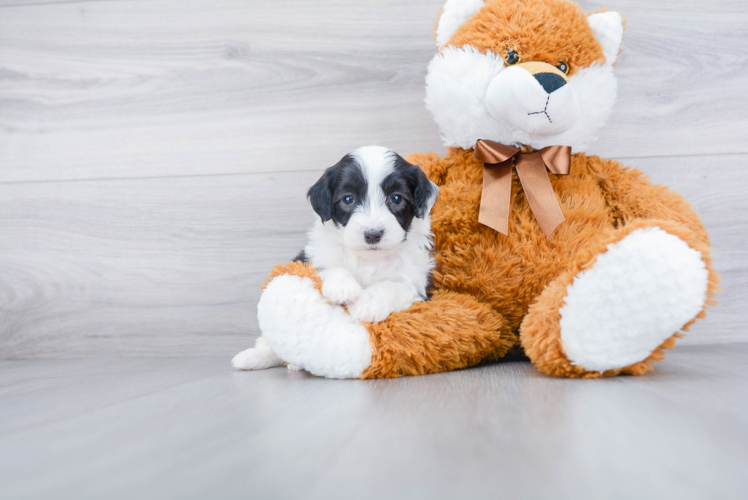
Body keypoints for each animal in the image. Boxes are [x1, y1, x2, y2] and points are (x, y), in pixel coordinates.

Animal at [232, 146, 438, 372]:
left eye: (396, 198)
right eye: (348, 199)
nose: (372, 234)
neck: (369, 258)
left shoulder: (420, 283)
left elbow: (394, 286)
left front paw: (367, 303)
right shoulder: (312, 258)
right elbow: (331, 267)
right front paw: (343, 287)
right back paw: (253, 357)